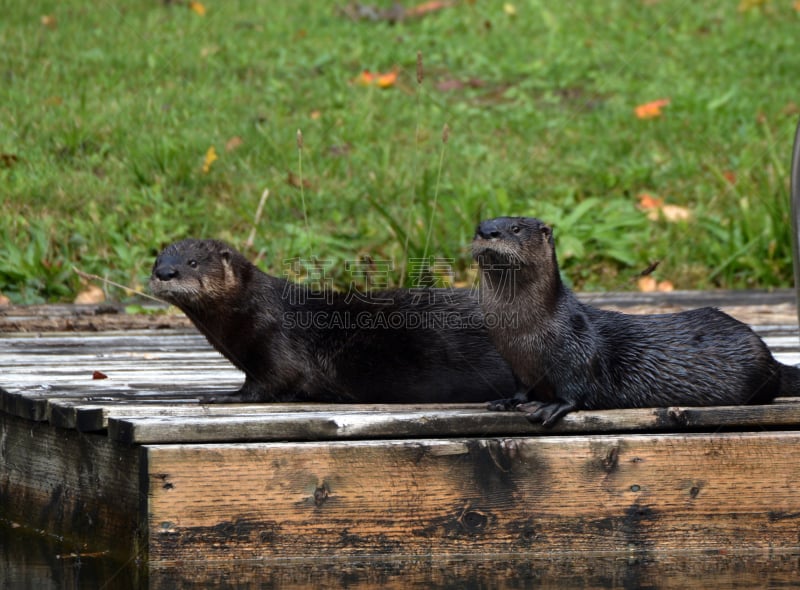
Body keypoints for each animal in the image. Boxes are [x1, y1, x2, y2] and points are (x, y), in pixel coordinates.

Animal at [148, 238, 520, 404]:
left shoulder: (275, 339)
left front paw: (224, 397)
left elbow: (273, 381)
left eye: (193, 262)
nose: (165, 273)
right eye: (157, 260)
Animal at [468, 216, 800, 426]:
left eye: (515, 228)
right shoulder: (516, 364)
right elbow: (521, 387)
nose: (487, 231)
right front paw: (508, 401)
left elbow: (577, 390)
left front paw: (550, 406)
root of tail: (769, 356)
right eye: (478, 225)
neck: (523, 334)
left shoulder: (578, 349)